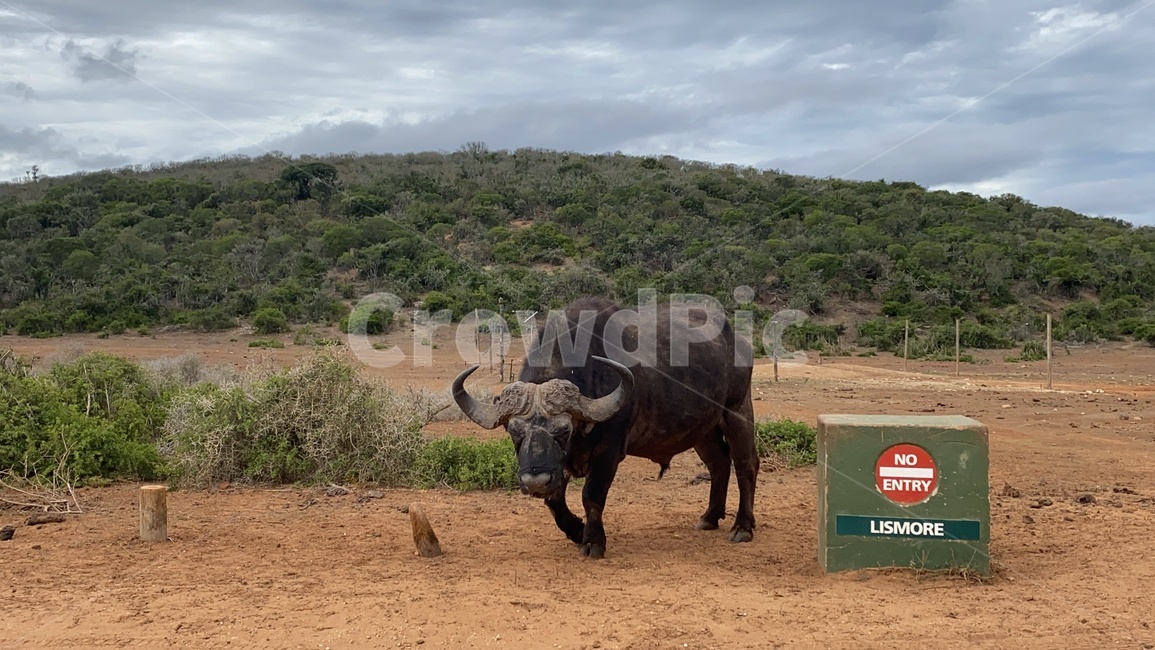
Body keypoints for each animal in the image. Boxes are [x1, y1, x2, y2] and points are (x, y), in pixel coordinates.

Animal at [451, 296, 759, 559]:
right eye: (514, 432)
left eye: (563, 431)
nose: (535, 482)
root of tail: (737, 341)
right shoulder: (558, 466)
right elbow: (554, 501)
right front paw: (577, 531)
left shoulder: (608, 452)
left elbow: (592, 495)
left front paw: (592, 541)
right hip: (703, 430)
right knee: (719, 462)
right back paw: (709, 517)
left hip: (737, 411)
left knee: (746, 465)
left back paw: (742, 527)